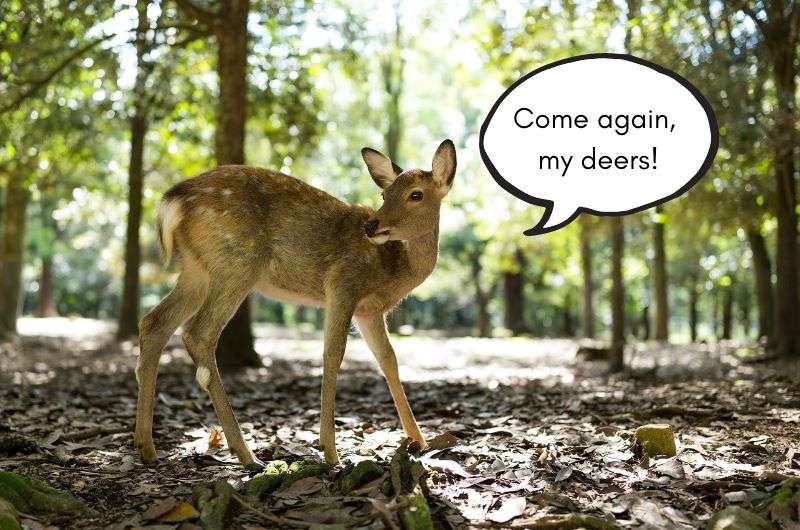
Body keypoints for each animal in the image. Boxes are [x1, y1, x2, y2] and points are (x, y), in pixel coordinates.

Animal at [132, 139, 456, 466]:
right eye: (384, 194)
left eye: (415, 194)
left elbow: (388, 359)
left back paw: (146, 447)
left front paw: (419, 441)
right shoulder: (343, 283)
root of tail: (173, 200)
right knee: (198, 334)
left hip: (196, 269)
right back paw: (246, 454)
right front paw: (330, 451)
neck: (393, 269)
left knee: (154, 322)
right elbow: (333, 353)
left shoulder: (369, 311)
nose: (371, 226)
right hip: (236, 262)